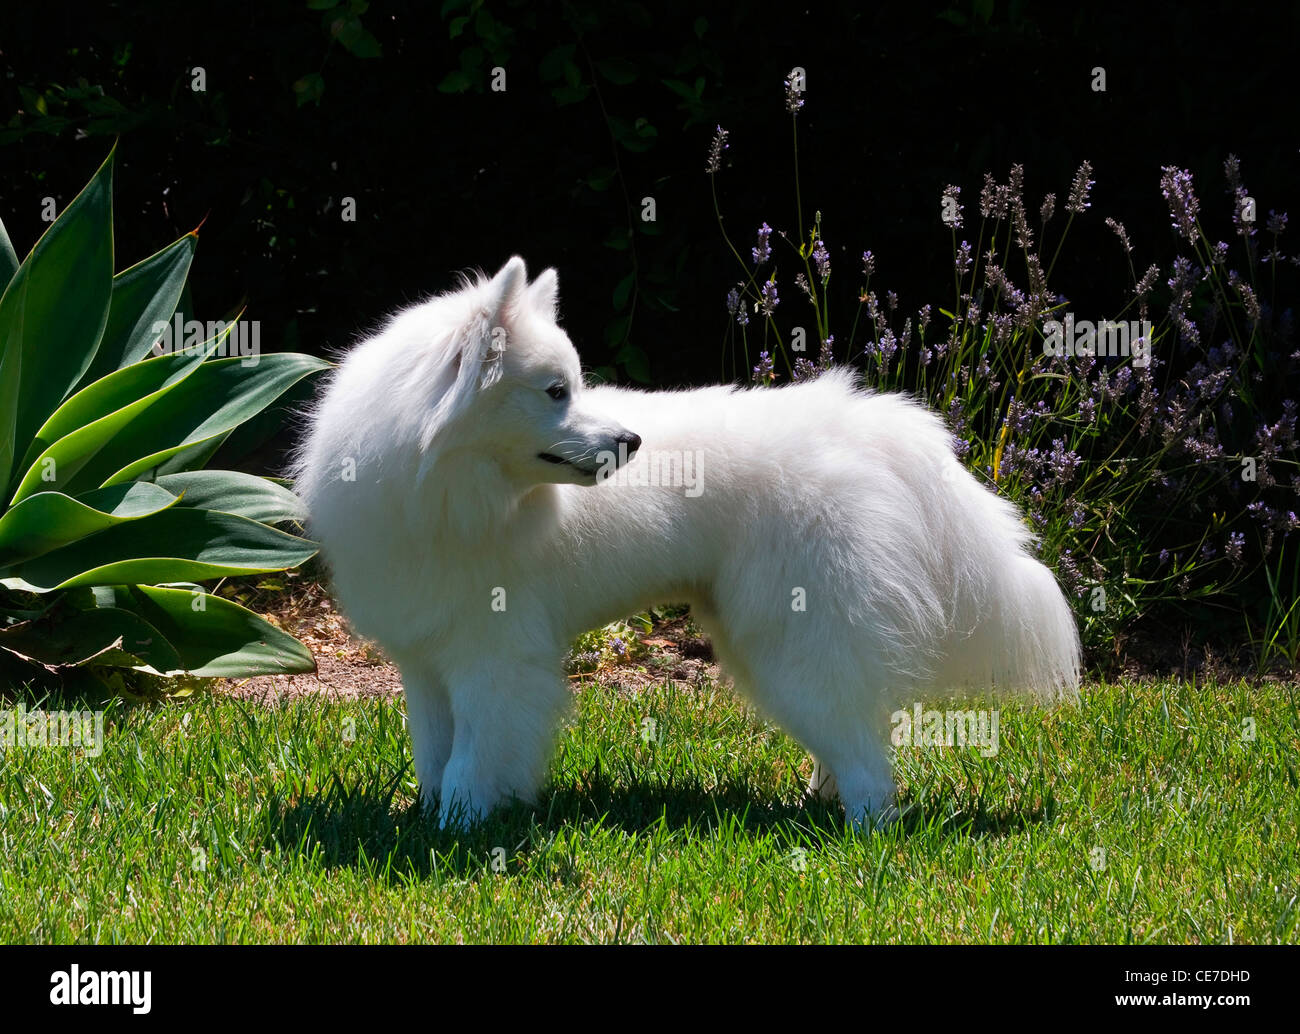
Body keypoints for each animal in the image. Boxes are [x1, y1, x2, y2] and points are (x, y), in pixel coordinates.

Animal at [299, 261, 1081, 832]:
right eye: (555, 392)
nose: (632, 441)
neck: (437, 488)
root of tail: (867, 427)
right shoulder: (427, 662)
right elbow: (433, 754)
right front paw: (425, 820)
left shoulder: (496, 661)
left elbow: (470, 762)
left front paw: (460, 830)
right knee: (849, 729)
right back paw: (820, 803)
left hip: (794, 638)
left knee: (864, 751)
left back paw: (866, 831)